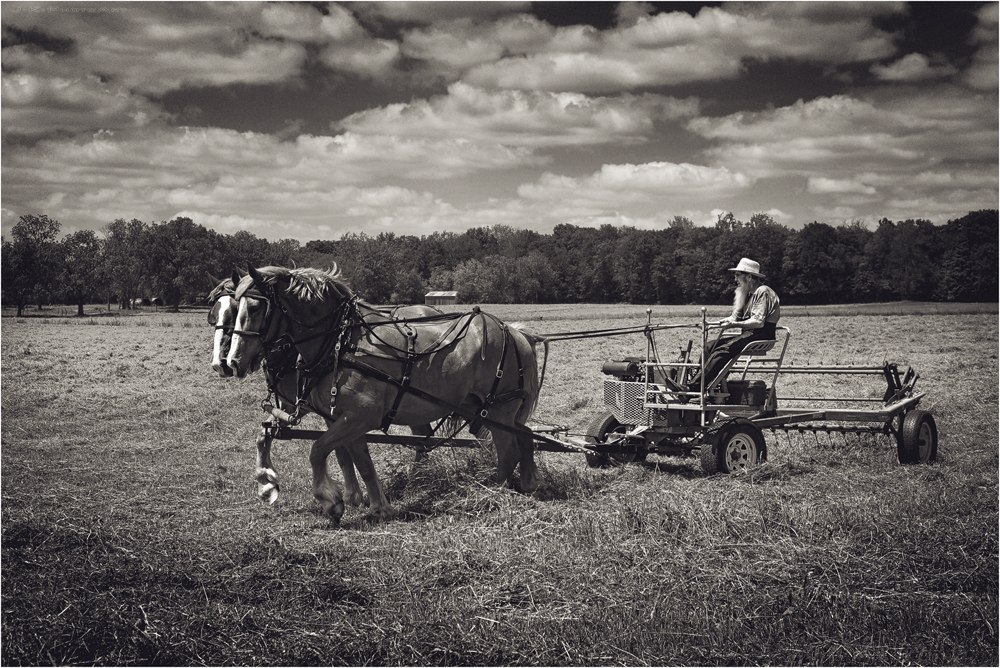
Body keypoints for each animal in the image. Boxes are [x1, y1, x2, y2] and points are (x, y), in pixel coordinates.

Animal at [225, 266, 548, 520]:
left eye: (255, 308)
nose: (233, 362)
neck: (341, 342)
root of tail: (517, 333)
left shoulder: (361, 416)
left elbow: (318, 450)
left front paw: (331, 500)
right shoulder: (345, 418)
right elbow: (359, 461)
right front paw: (378, 506)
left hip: (498, 410)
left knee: (508, 451)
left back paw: (492, 492)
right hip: (493, 409)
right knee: (525, 435)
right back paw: (528, 482)